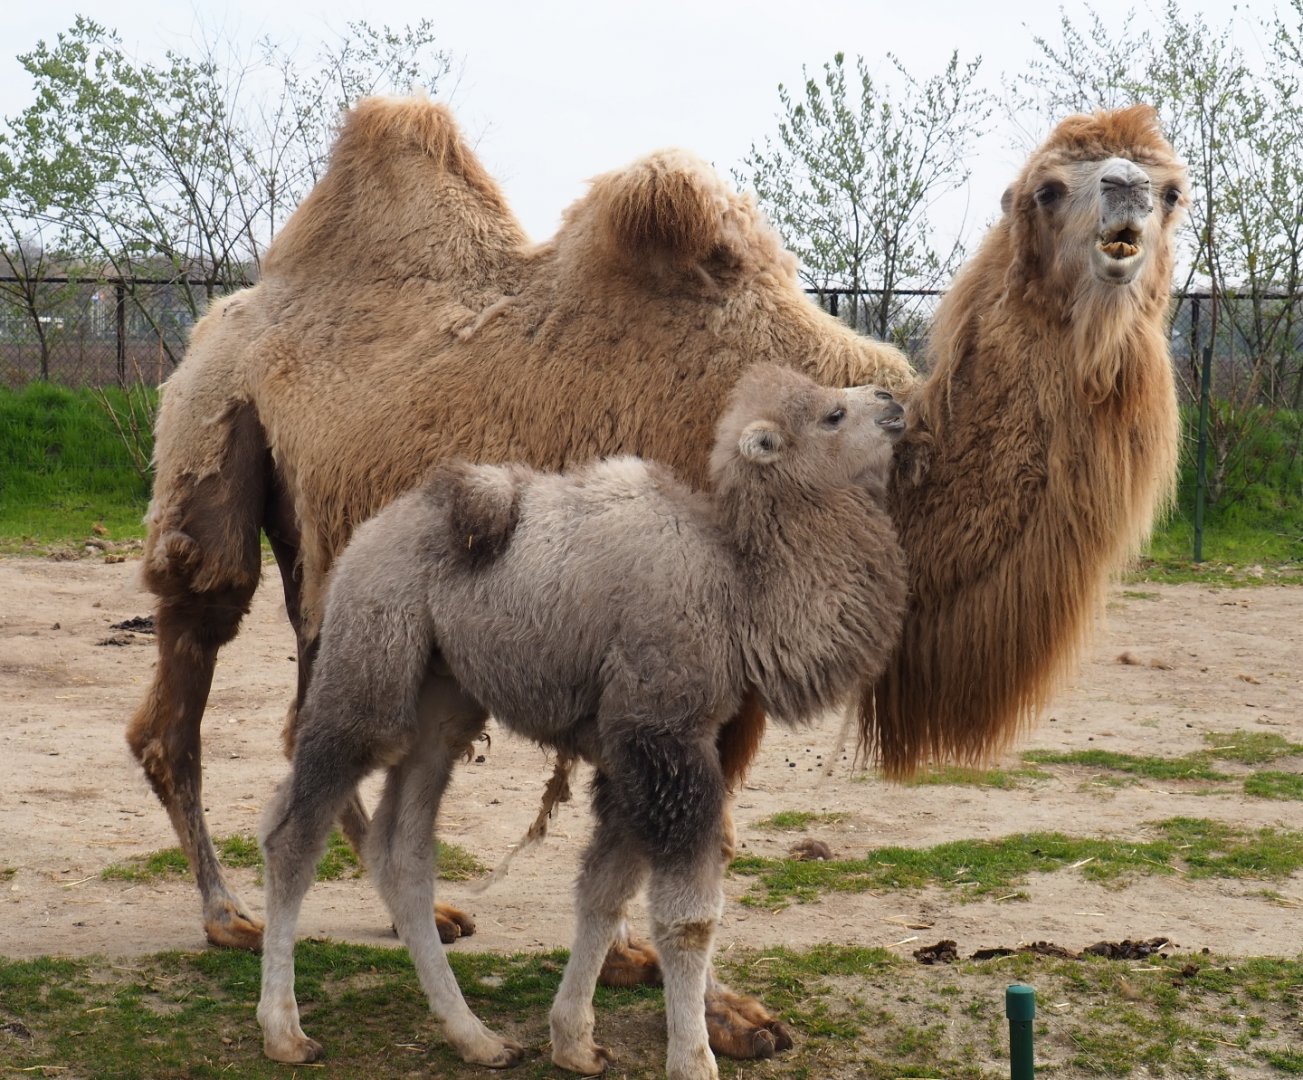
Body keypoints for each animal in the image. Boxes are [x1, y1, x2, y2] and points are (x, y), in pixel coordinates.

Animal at [255, 366, 908, 1080]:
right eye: (832, 414)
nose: (894, 399)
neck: (737, 589)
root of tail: (361, 541)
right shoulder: (663, 736)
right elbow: (686, 917)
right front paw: (693, 1059)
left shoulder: (631, 754)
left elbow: (603, 891)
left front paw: (573, 1041)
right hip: (369, 670)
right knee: (295, 828)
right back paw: (285, 1031)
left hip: (443, 702)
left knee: (402, 850)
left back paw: (477, 1038)